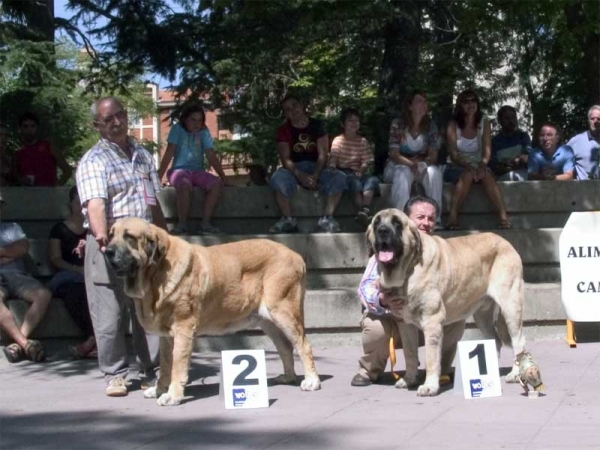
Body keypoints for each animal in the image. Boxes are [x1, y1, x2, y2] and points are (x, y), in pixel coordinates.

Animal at [104, 216, 318, 406]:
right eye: (111, 235)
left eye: (129, 237)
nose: (107, 251)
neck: (156, 274)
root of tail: (296, 256)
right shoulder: (166, 336)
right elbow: (165, 365)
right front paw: (159, 390)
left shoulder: (183, 329)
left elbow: (177, 365)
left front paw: (172, 396)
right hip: (268, 320)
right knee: (285, 347)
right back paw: (288, 377)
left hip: (283, 312)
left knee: (303, 345)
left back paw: (312, 381)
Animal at [368, 209, 528, 396]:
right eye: (377, 223)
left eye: (397, 223)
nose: (383, 231)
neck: (408, 269)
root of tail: (506, 242)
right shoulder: (405, 324)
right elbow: (410, 354)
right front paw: (409, 380)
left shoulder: (432, 322)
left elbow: (431, 358)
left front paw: (429, 386)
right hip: (482, 315)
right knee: (495, 340)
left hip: (510, 307)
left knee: (518, 341)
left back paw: (515, 373)